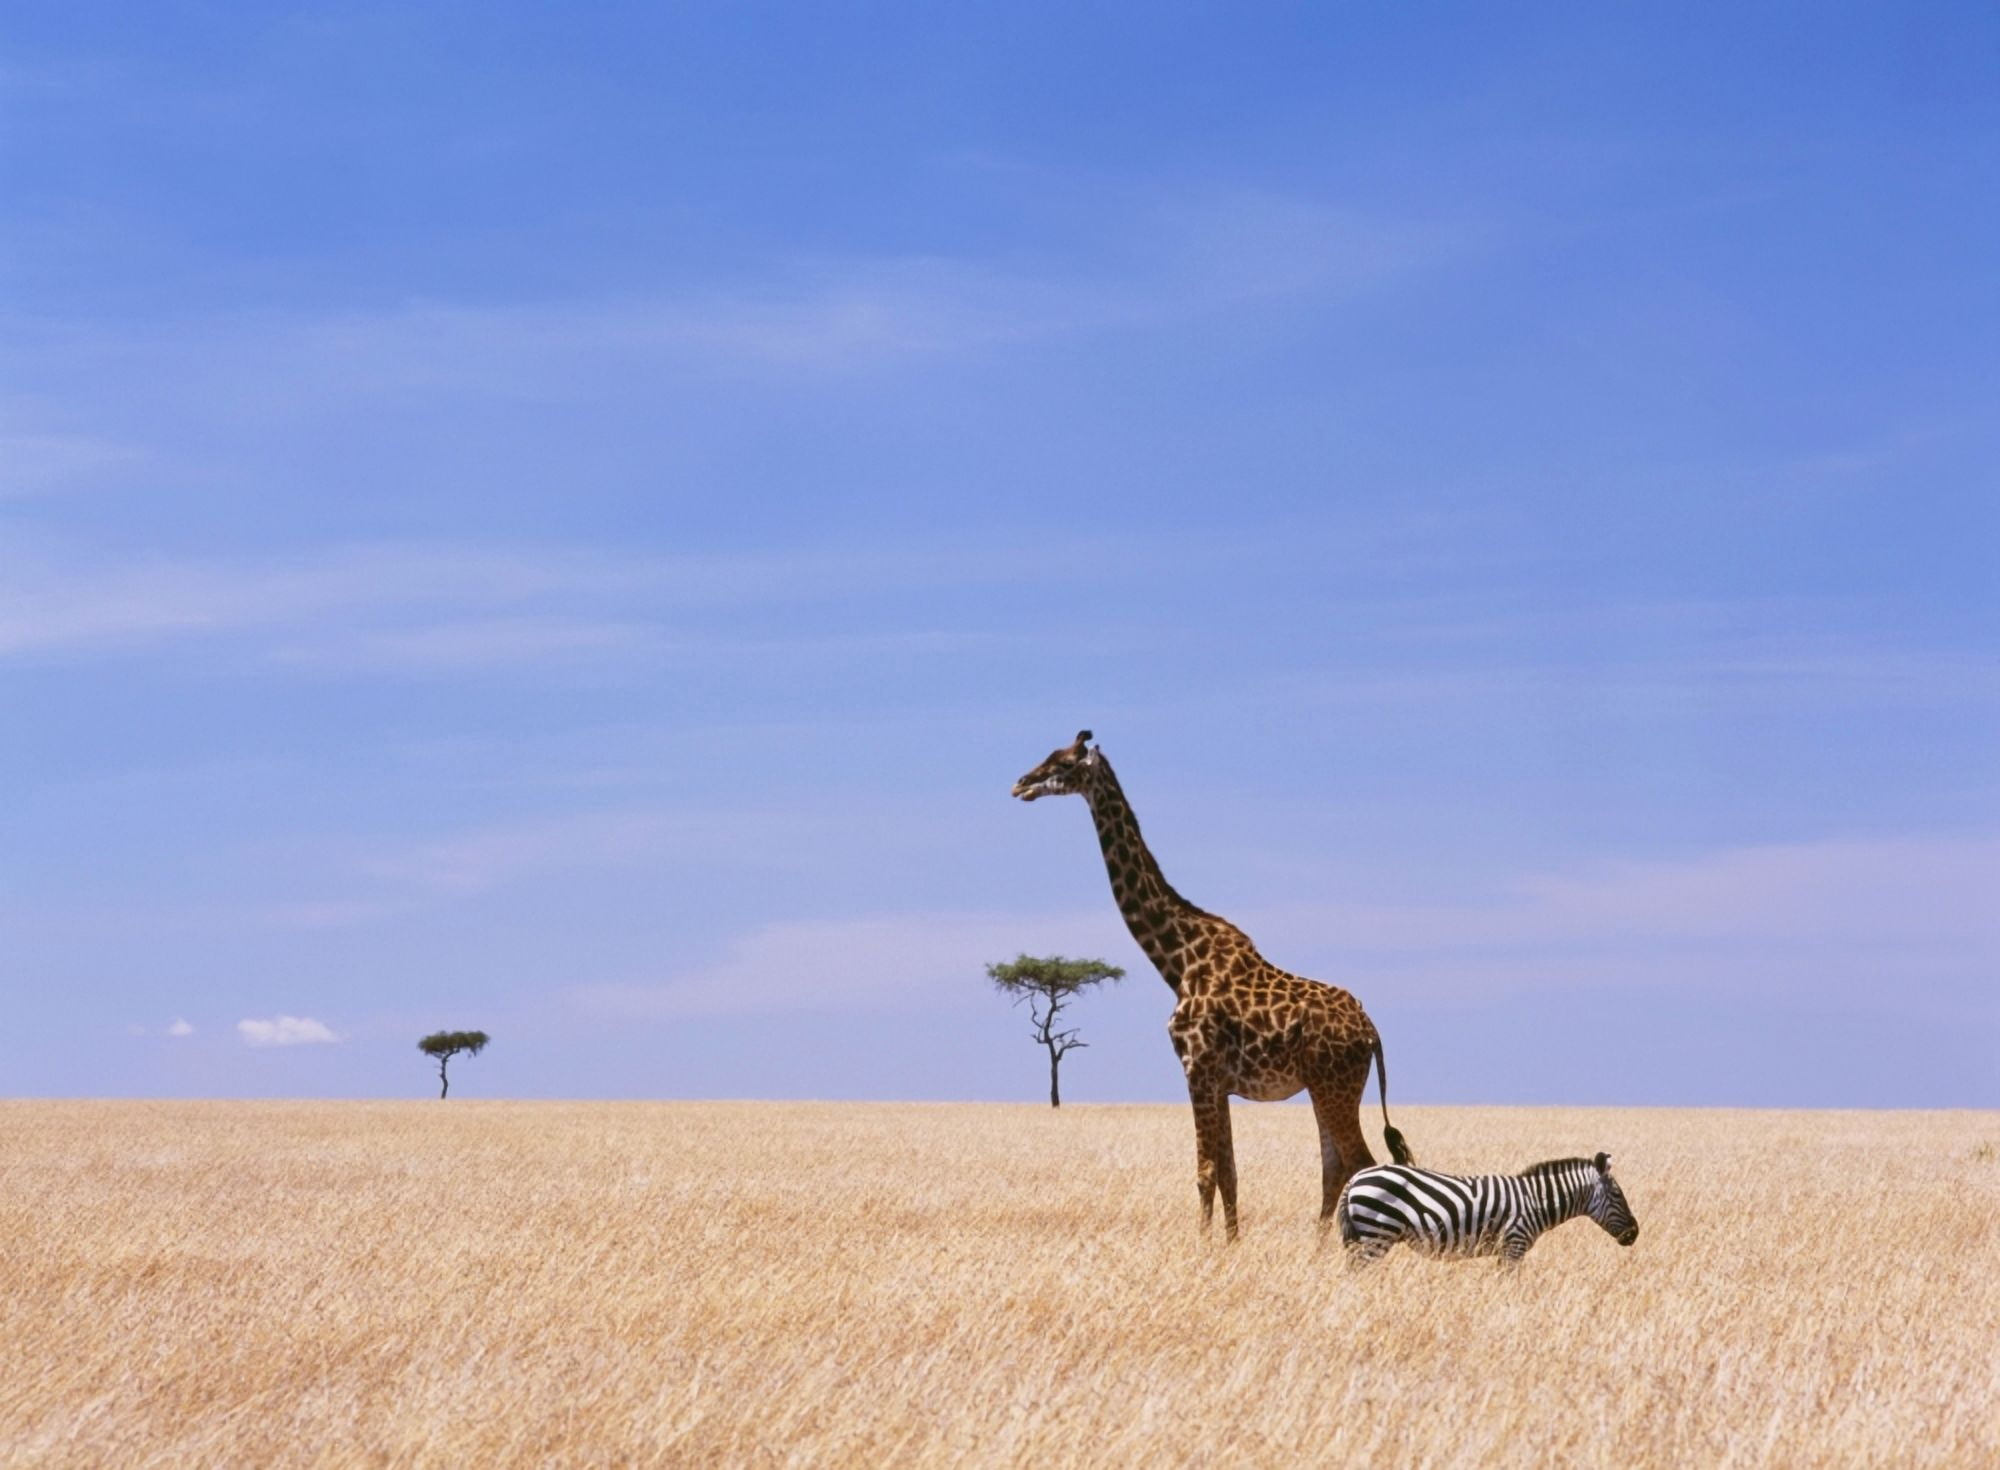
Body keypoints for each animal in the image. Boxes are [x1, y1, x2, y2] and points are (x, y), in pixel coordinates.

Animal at [1013, 730, 1412, 1240]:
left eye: (1062, 762)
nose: (1021, 784)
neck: (1178, 959)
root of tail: (1371, 1031)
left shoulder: (1196, 1067)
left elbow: (1205, 1170)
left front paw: (1201, 1247)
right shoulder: (1219, 1080)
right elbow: (1229, 1172)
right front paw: (1229, 1245)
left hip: (1333, 1084)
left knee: (1359, 1162)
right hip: (1326, 1085)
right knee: (1335, 1166)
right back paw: (1318, 1248)